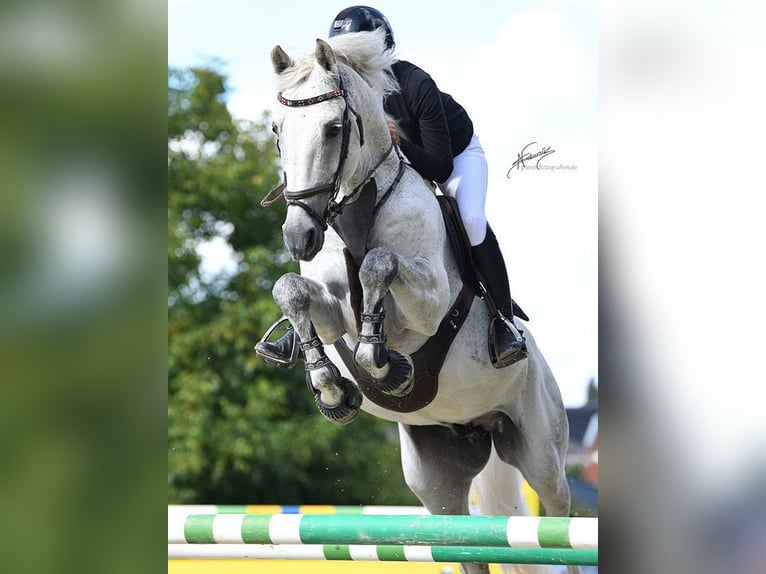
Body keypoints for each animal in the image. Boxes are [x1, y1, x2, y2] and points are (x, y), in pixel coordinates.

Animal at [262, 29, 578, 574]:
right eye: (279, 130)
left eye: (333, 128)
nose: (299, 236)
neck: (358, 205)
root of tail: (477, 423)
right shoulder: (332, 313)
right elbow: (293, 292)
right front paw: (329, 386)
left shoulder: (427, 305)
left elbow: (379, 265)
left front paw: (383, 362)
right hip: (437, 477)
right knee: (464, 541)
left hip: (542, 454)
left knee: (558, 518)